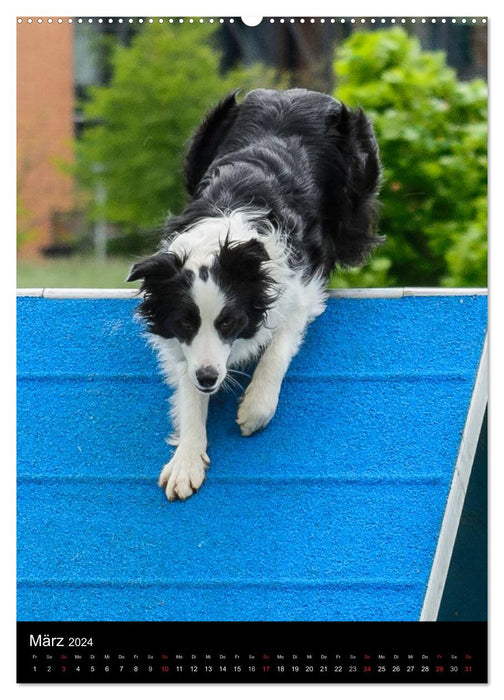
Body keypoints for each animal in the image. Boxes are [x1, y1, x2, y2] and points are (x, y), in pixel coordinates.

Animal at [127, 89, 382, 504]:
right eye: (185, 322)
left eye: (229, 322)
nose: (210, 378)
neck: (224, 230)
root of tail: (296, 92)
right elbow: (187, 385)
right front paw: (186, 460)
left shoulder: (299, 288)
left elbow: (278, 348)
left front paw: (254, 410)